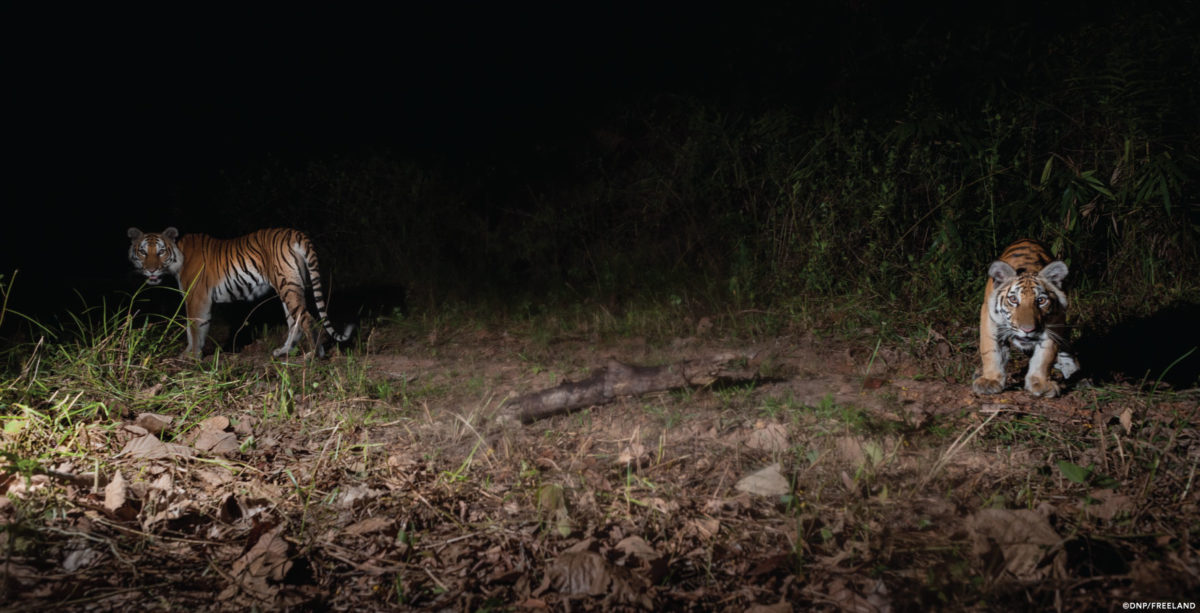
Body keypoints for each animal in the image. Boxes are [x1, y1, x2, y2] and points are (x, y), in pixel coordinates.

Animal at [127, 227, 352, 357]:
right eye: (143, 251)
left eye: (161, 252)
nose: (151, 270)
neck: (178, 253)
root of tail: (296, 233)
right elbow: (193, 328)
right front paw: (189, 354)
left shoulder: (196, 297)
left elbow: (194, 328)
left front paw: (192, 357)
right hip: (291, 285)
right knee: (294, 321)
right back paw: (284, 351)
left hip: (287, 284)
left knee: (306, 318)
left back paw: (313, 356)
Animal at [969, 239, 1084, 398]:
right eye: (1013, 299)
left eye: (1041, 300)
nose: (1028, 330)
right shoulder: (989, 318)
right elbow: (990, 350)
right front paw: (990, 381)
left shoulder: (1054, 324)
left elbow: (1045, 356)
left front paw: (1040, 383)